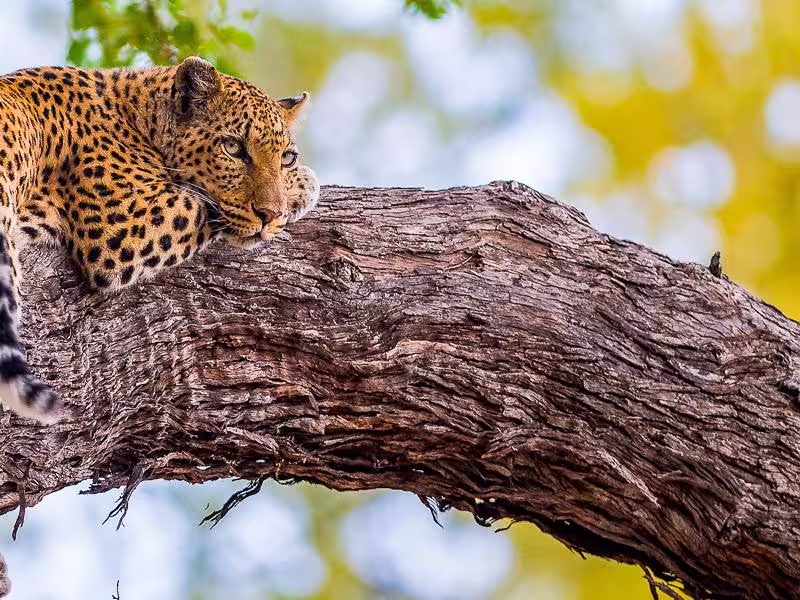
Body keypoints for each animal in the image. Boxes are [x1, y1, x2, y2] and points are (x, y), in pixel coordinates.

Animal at [0, 56, 319, 425]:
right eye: (234, 148)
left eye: (286, 157)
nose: (270, 214)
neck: (136, 114)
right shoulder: (125, 224)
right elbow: (204, 207)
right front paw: (304, 185)